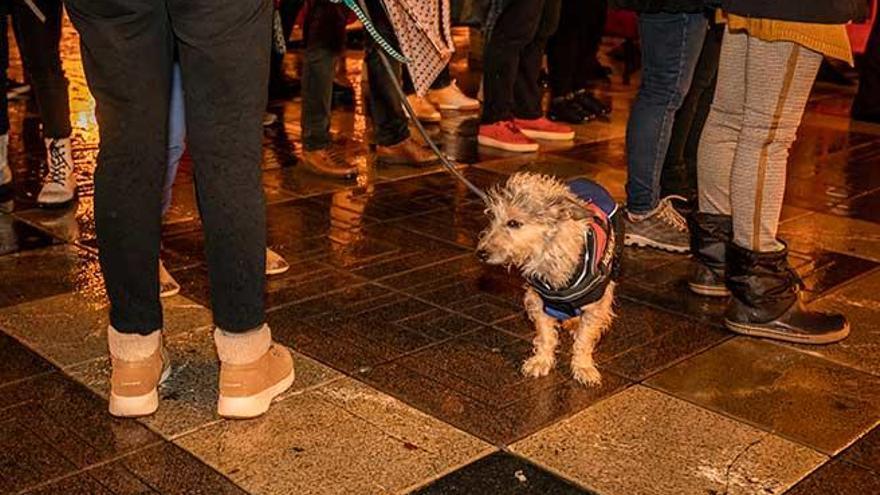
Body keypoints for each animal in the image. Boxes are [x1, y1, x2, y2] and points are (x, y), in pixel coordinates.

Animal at [478, 174, 624, 388]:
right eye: (493, 219)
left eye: (513, 223)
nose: (480, 253)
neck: (549, 254)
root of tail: (587, 180)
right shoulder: (538, 301)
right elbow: (545, 335)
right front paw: (541, 360)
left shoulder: (595, 304)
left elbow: (584, 339)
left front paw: (583, 366)